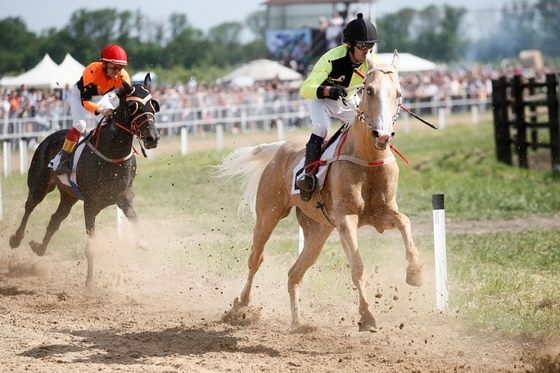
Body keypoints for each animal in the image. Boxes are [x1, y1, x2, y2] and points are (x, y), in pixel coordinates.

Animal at [9, 74, 161, 286]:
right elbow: (91, 246)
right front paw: (89, 281)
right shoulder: (90, 204)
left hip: (68, 195)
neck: (112, 153)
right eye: (133, 107)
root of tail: (48, 137)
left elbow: (133, 217)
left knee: (55, 219)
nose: (152, 137)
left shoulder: (123, 196)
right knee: (30, 205)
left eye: (153, 105)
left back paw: (40, 248)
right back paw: (16, 238)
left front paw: (142, 242)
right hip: (39, 185)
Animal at [217, 50, 422, 332]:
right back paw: (240, 307)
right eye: (369, 90)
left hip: (318, 231)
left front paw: (415, 273)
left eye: (399, 93)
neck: (367, 160)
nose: (382, 136)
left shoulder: (383, 214)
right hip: (268, 215)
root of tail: (280, 147)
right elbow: (357, 268)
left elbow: (405, 223)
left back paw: (298, 322)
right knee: (255, 259)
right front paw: (367, 316)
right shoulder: (346, 220)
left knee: (294, 274)